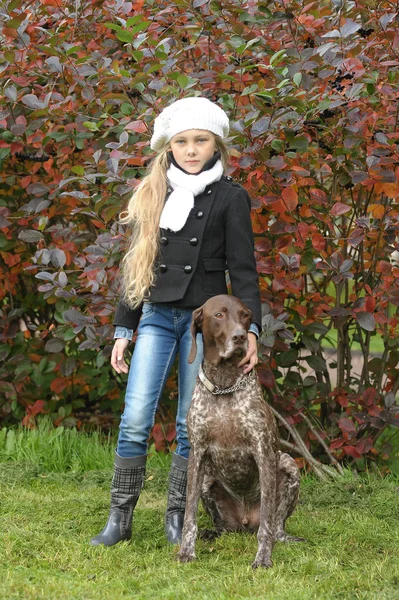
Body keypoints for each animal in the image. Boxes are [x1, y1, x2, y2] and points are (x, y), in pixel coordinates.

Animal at [178, 294, 304, 568]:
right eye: (219, 315)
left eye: (245, 315)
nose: (240, 337)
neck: (225, 386)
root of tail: (245, 522)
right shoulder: (197, 453)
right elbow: (189, 515)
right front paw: (186, 551)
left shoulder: (264, 452)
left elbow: (267, 522)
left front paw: (263, 558)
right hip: (208, 479)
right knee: (223, 527)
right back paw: (212, 533)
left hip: (288, 464)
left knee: (275, 526)